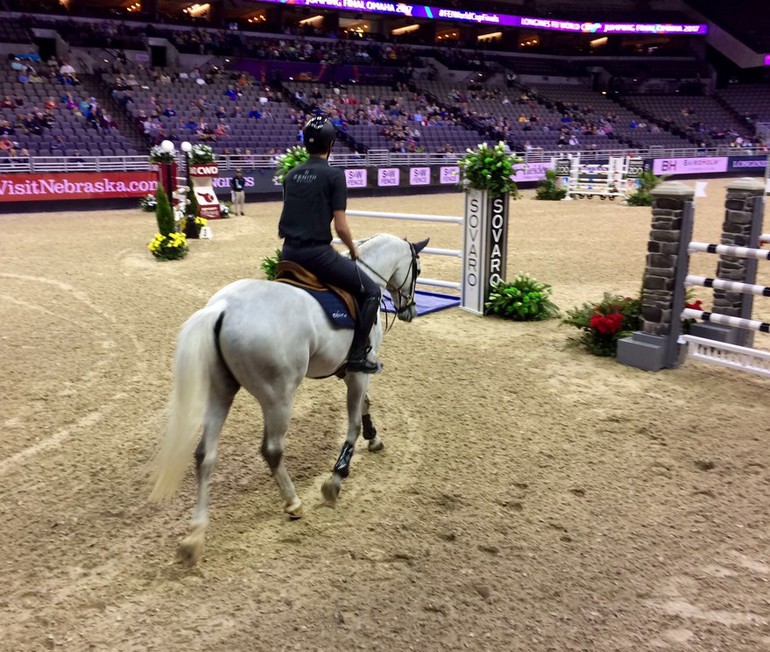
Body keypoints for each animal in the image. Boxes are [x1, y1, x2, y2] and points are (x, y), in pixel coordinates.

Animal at [149, 232, 426, 564]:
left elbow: (365, 405)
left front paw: (374, 438)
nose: (410, 311)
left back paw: (194, 537)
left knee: (205, 455)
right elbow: (354, 422)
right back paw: (293, 502)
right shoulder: (360, 370)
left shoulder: (352, 371)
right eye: (418, 270)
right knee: (271, 450)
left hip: (220, 390)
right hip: (278, 396)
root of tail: (223, 308)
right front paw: (336, 478)